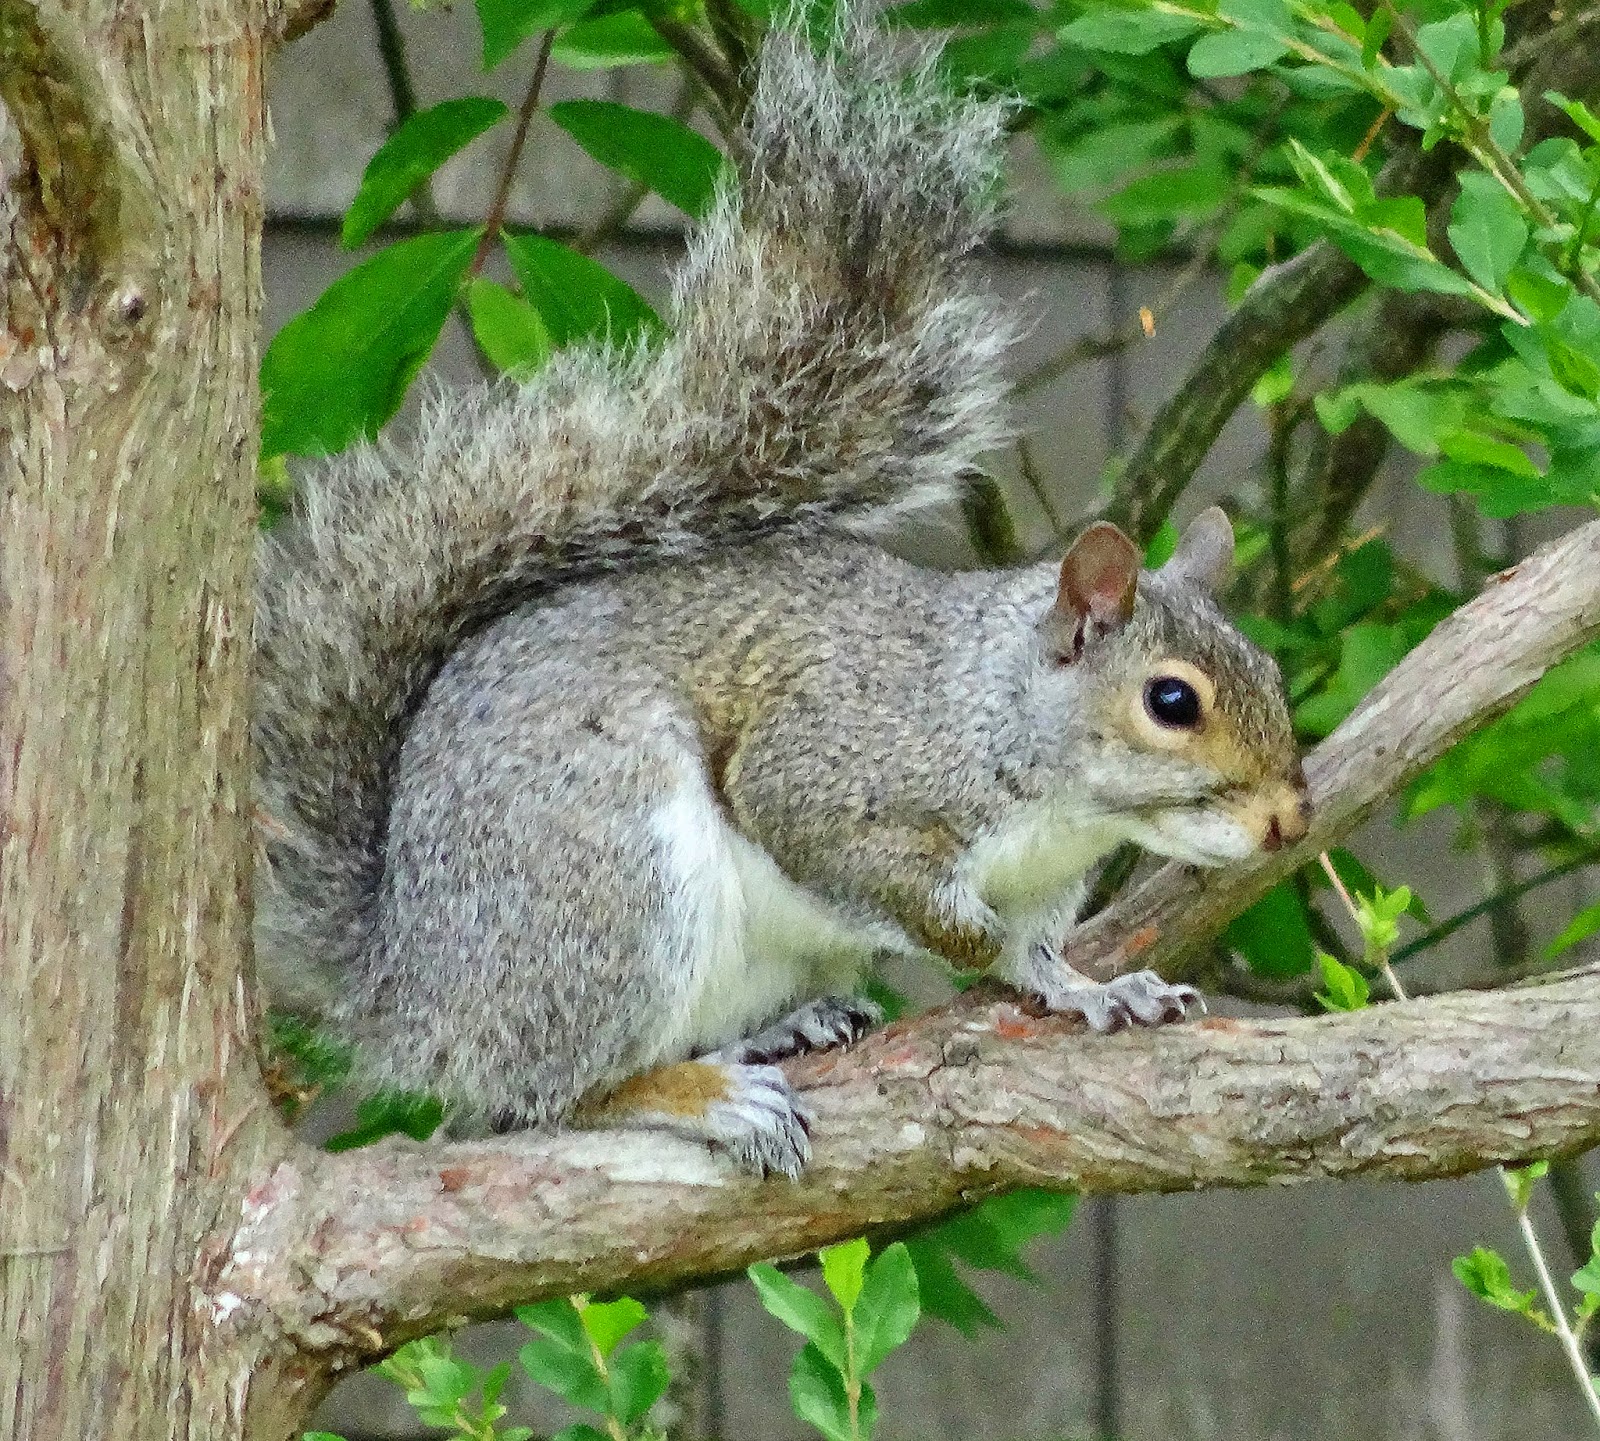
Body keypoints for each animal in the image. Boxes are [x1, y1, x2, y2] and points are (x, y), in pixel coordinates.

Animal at [252, 7, 1311, 1177]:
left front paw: (1092, 990)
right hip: (611, 883)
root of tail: (414, 991)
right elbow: (885, 878)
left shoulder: (1044, 884)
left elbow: (1038, 956)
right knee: (556, 1093)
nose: (1288, 821)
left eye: (1269, 672)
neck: (1004, 725)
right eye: (1172, 701)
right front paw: (985, 952)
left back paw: (783, 1027)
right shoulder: (839, 776)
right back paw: (707, 1094)